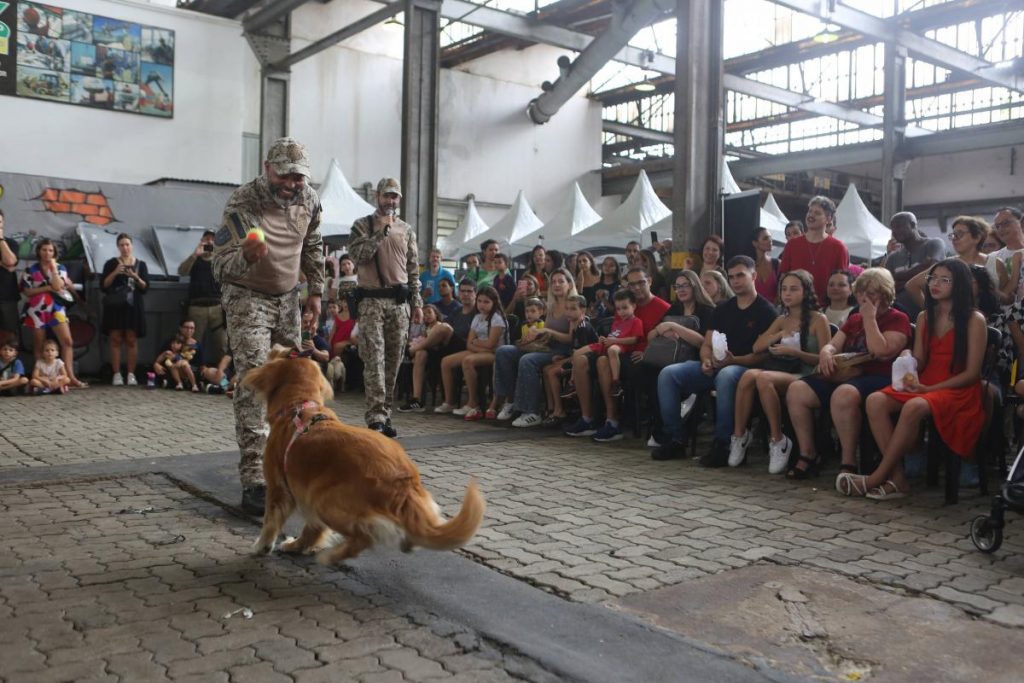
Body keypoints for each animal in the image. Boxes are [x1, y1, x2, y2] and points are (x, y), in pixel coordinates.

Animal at [242, 348, 483, 565]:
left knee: (364, 537)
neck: (299, 406)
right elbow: (313, 529)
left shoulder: (279, 487)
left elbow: (271, 521)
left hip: (324, 499)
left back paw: (333, 556)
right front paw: (297, 546)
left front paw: (261, 546)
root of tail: (403, 479)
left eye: (282, 352)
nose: (279, 346)